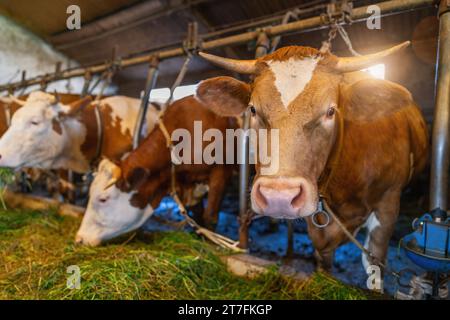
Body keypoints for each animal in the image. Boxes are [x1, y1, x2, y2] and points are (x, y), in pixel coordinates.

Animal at [196, 41, 428, 274]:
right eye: (252, 109)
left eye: (331, 111)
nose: (278, 197)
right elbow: (323, 259)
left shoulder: (388, 202)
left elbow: (374, 263)